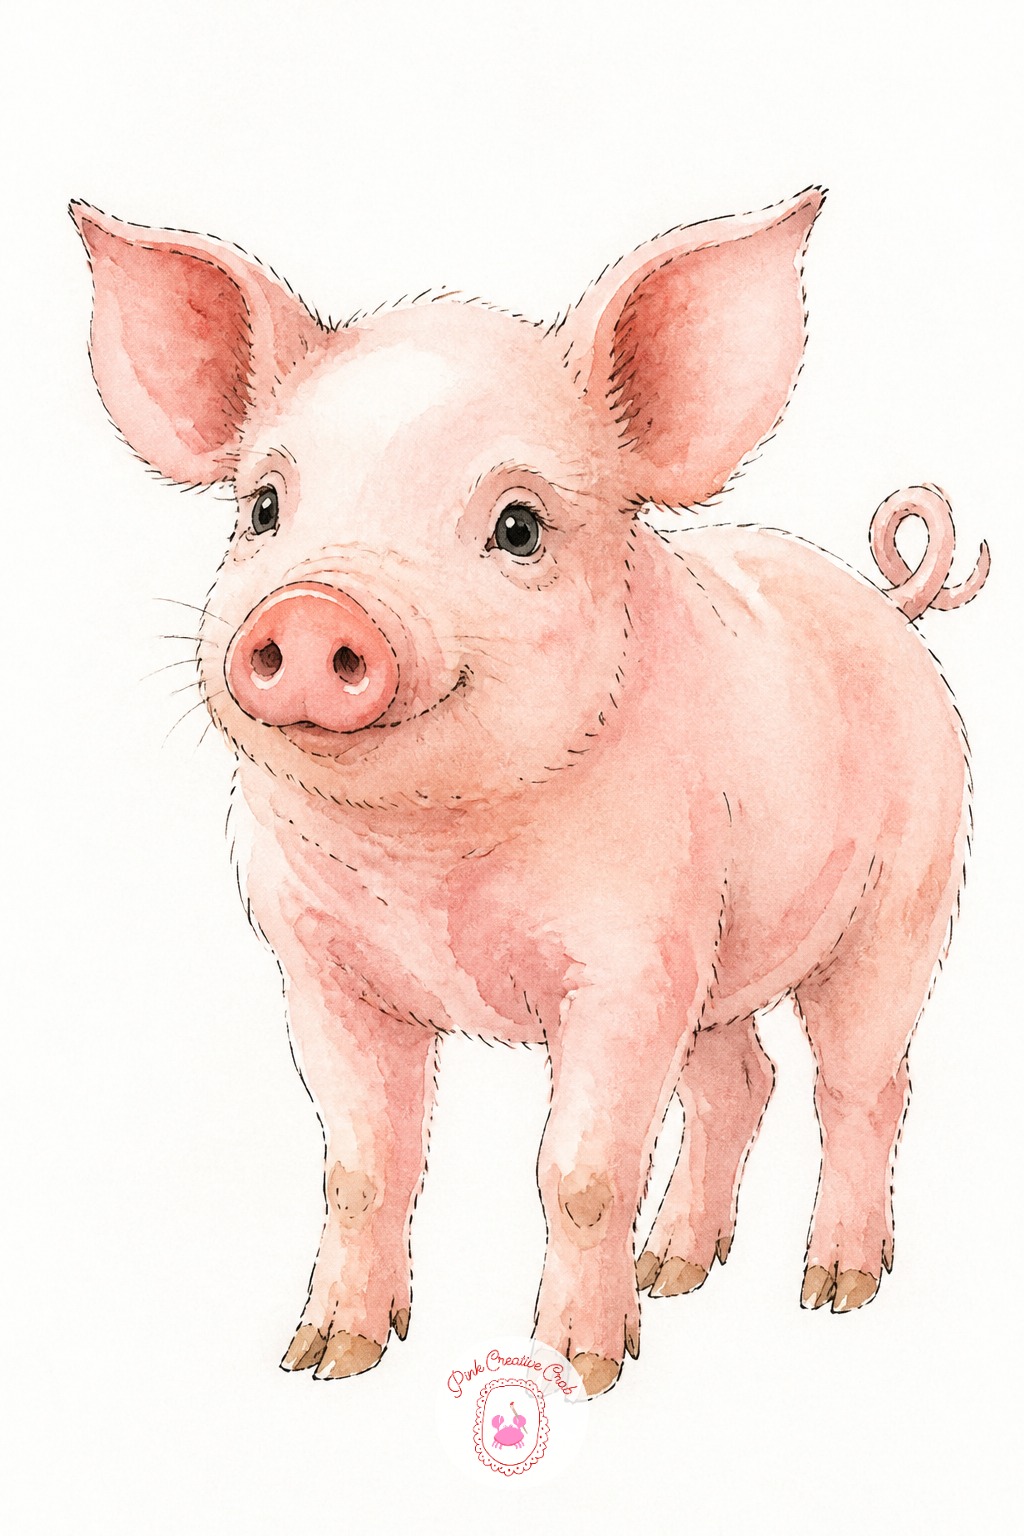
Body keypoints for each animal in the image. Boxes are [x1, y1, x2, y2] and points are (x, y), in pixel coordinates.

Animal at [73, 189, 989, 1397]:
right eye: (263, 507)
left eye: (517, 526)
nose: (315, 611)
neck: (430, 862)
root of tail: (893, 603)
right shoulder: (317, 963)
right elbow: (362, 1166)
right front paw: (324, 1360)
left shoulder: (630, 956)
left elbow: (581, 1172)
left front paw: (578, 1373)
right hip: (721, 967)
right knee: (739, 1083)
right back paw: (673, 1271)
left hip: (903, 902)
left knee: (863, 1085)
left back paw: (833, 1290)